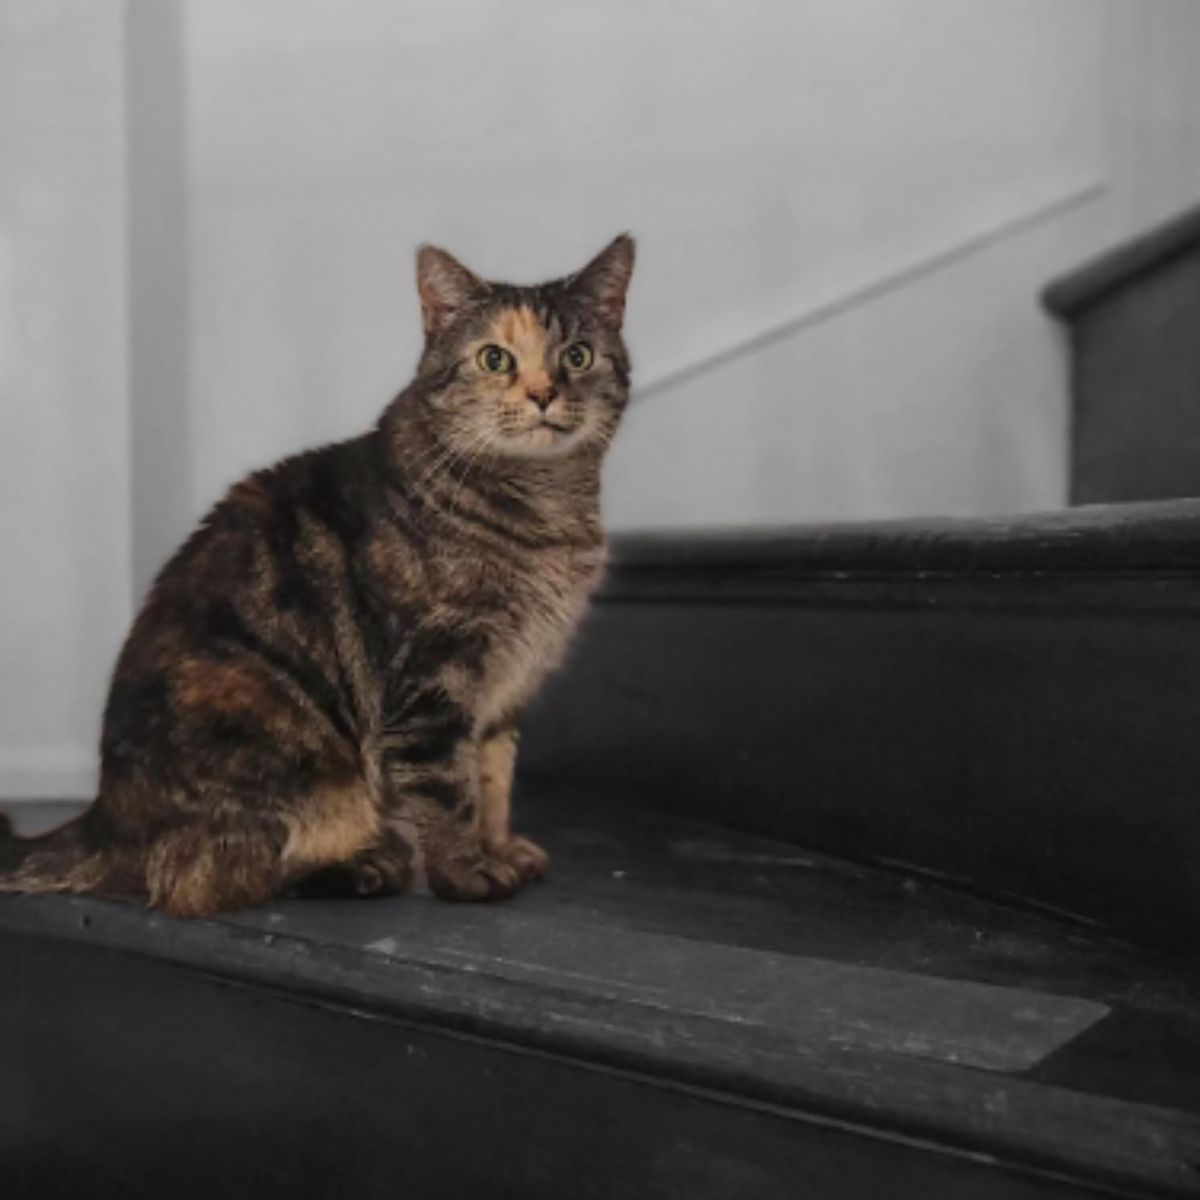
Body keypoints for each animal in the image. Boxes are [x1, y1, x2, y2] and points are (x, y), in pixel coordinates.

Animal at [0, 234, 638, 912]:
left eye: (577, 355)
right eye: (495, 358)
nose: (544, 393)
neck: (548, 514)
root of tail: (101, 817)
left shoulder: (502, 691)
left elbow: (493, 780)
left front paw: (500, 849)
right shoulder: (432, 682)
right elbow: (447, 791)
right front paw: (467, 872)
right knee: (199, 879)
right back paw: (368, 863)